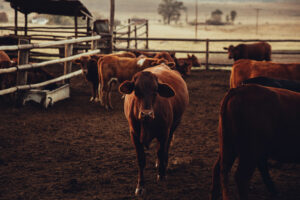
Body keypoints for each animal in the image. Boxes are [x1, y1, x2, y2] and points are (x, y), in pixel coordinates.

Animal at [119, 65, 188, 196]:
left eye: (155, 91)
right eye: (136, 91)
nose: (147, 114)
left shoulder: (164, 132)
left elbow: (161, 152)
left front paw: (161, 174)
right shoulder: (134, 134)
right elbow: (141, 159)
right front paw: (140, 186)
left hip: (173, 126)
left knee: (165, 147)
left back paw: (164, 164)